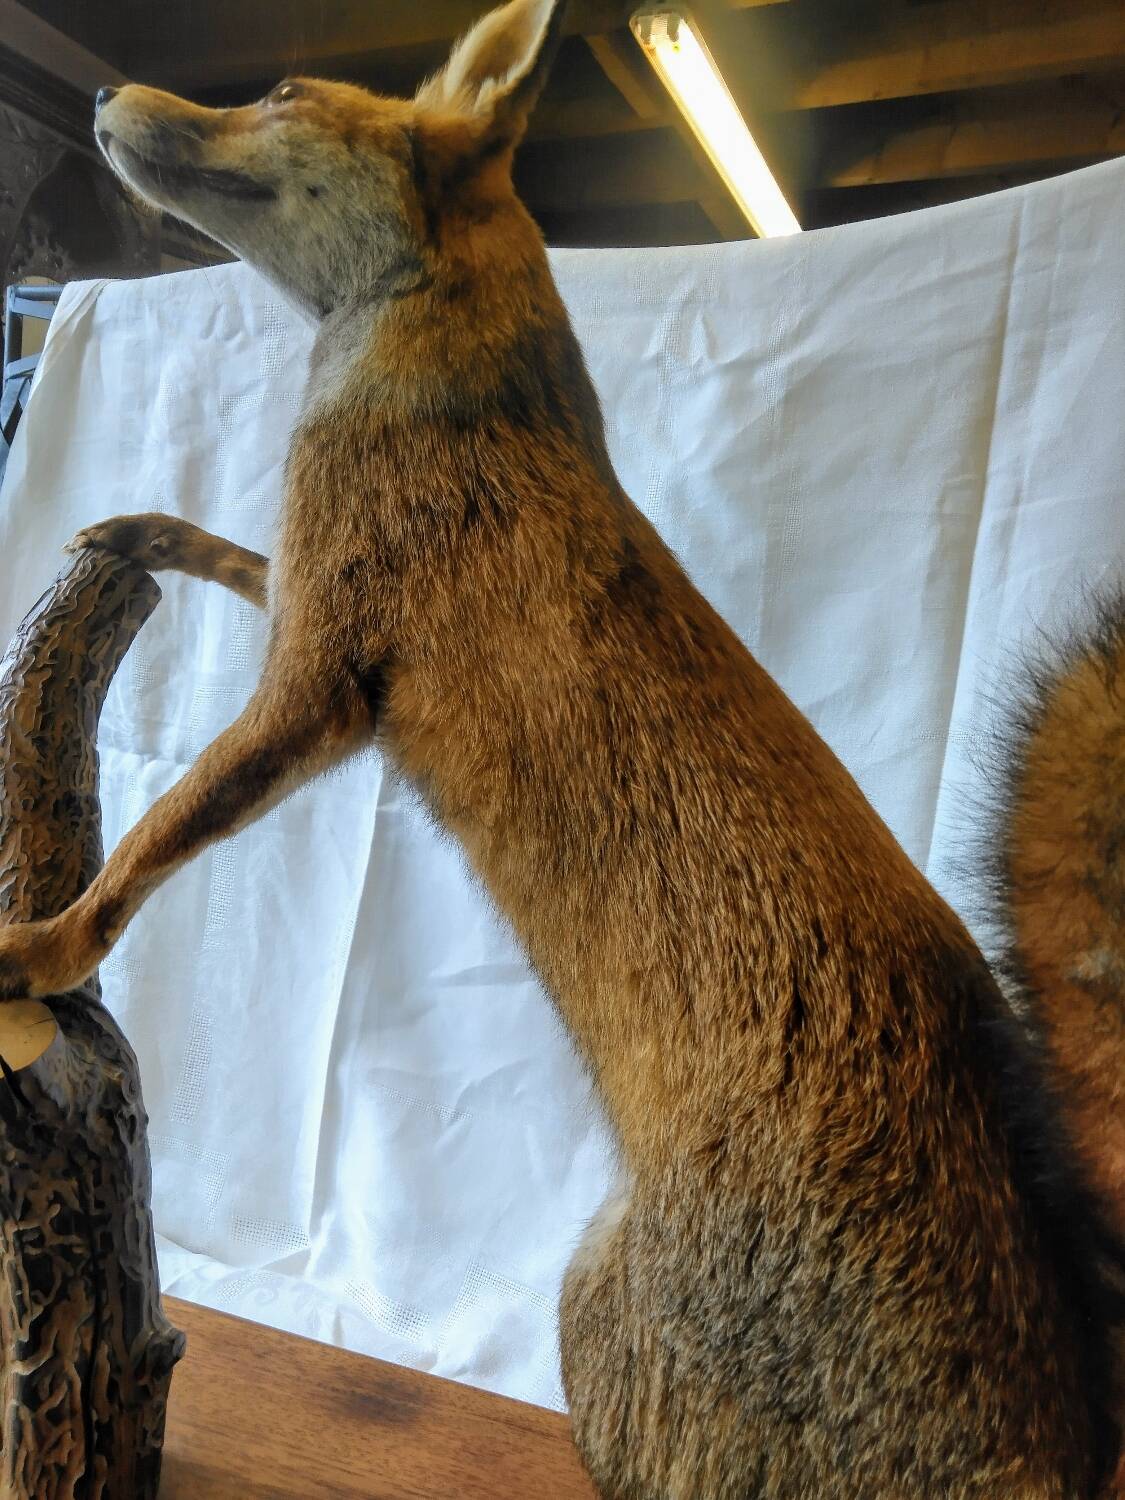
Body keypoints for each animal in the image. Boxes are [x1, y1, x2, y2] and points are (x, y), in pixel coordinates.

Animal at [0, 0, 1120, 1493]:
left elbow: (143, 850)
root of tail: (1069, 1424)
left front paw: (38, 952)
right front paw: (139, 532)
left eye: (283, 90)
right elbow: (225, 554)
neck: (444, 384)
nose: (106, 92)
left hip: (585, 1309)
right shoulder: (308, 604)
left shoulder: (319, 687)